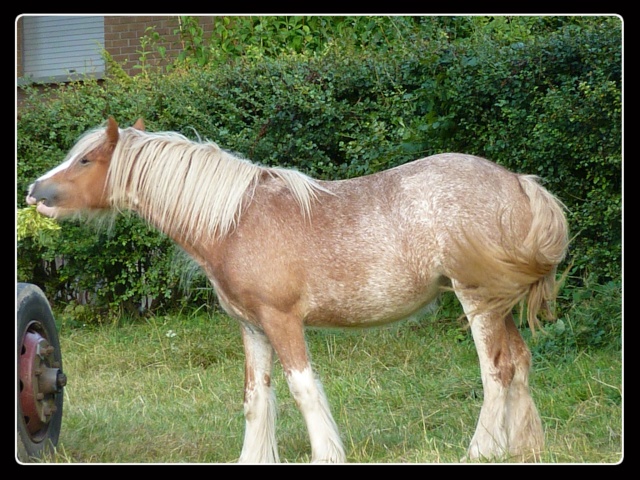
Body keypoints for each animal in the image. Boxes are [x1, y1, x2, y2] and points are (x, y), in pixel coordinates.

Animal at [27, 116, 568, 462]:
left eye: (86, 160)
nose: (34, 191)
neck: (236, 221)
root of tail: (517, 183)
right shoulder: (252, 328)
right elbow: (256, 398)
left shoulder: (283, 321)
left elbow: (303, 389)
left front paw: (327, 454)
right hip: (497, 304)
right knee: (520, 362)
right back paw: (525, 448)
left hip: (477, 302)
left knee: (496, 372)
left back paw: (482, 450)